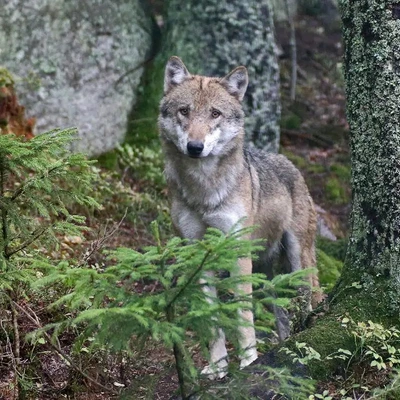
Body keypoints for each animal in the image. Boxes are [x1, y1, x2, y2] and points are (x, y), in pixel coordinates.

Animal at [158, 56, 320, 378]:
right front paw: (217, 367)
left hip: (297, 262)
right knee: (283, 317)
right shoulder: (199, 252)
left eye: (215, 113)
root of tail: (292, 166)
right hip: (268, 279)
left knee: (307, 302)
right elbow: (212, 320)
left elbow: (243, 314)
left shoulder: (237, 253)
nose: (195, 147)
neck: (204, 190)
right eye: (184, 111)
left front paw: (248, 362)